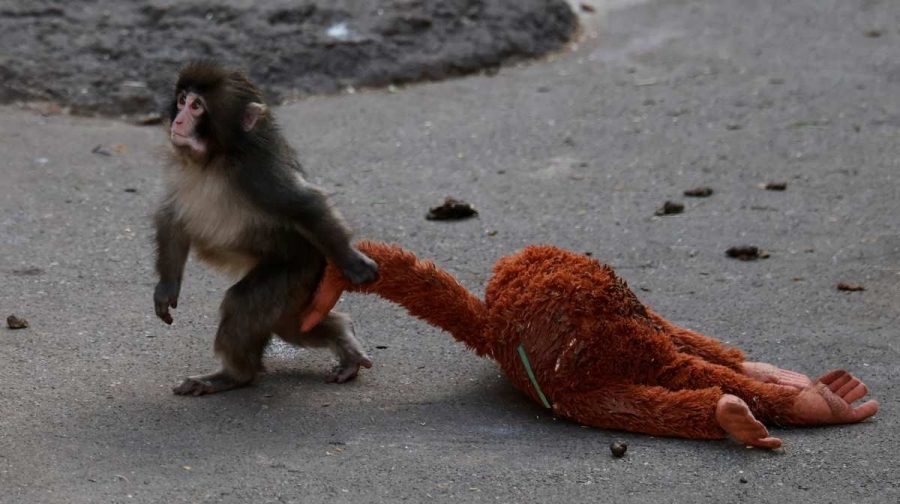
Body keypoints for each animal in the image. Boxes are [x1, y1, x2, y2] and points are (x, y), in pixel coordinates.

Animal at [154, 61, 378, 396]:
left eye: (197, 106)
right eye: (181, 100)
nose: (179, 120)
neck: (215, 159)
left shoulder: (257, 174)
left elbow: (305, 204)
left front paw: (352, 262)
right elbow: (172, 217)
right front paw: (166, 288)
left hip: (298, 269)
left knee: (245, 304)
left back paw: (234, 375)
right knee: (292, 324)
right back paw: (344, 337)